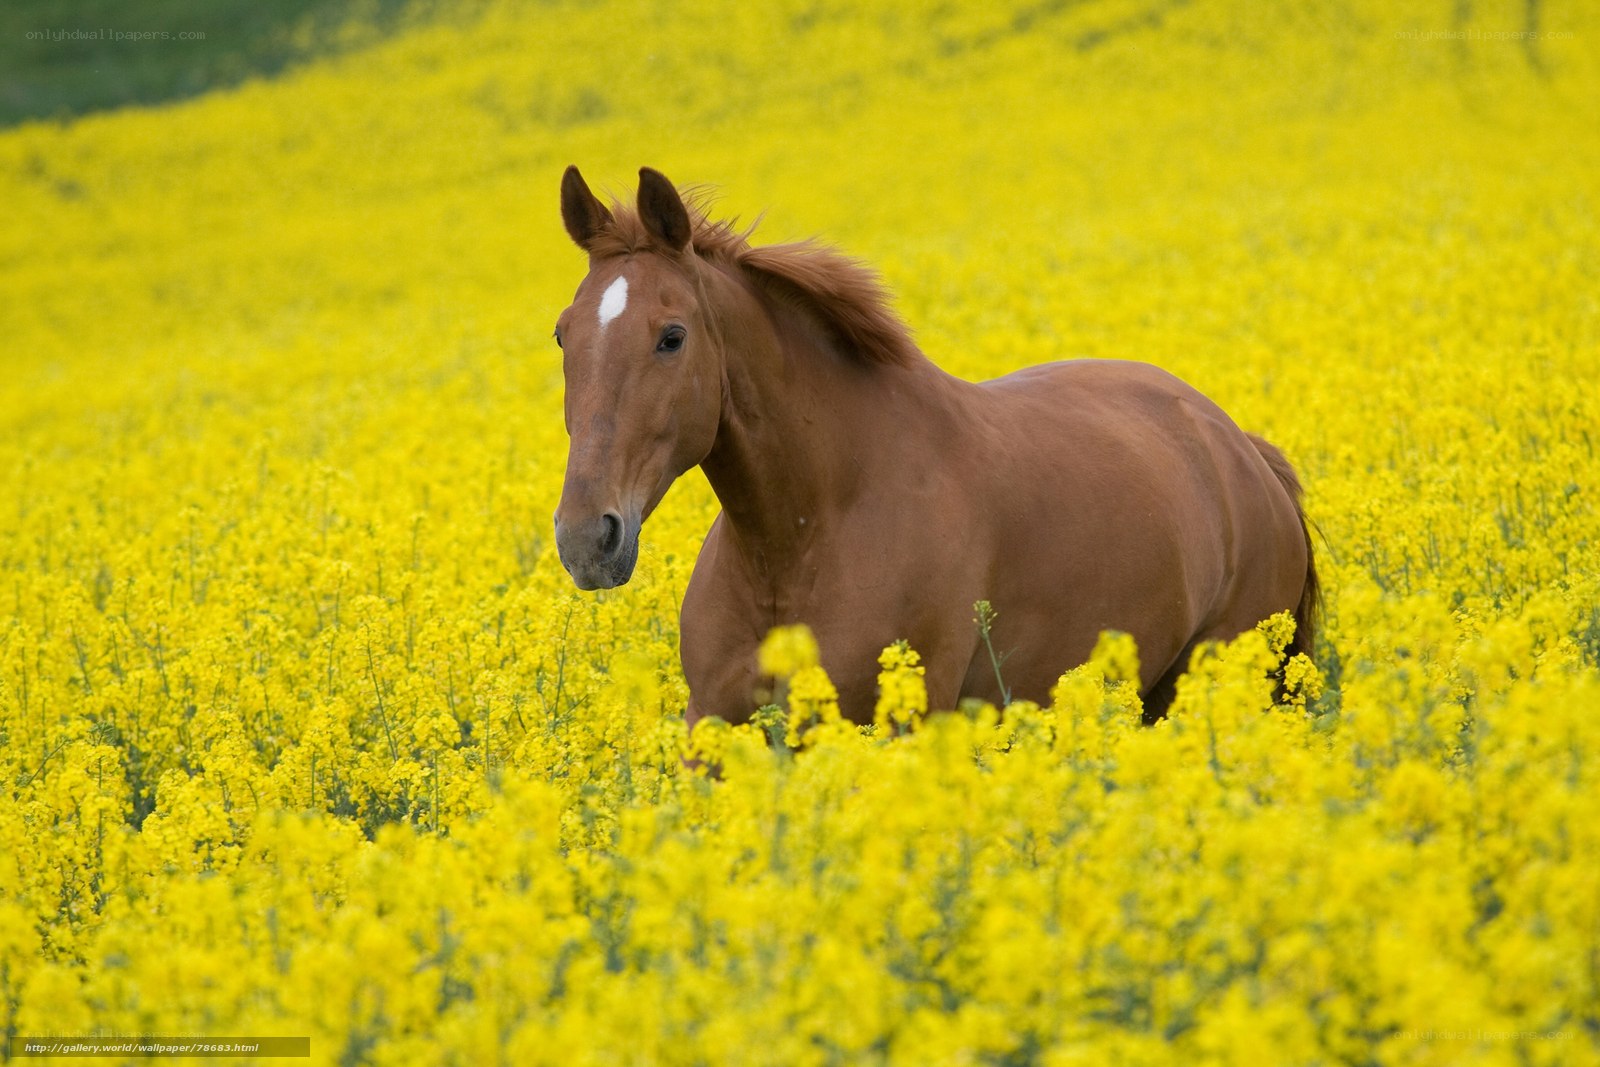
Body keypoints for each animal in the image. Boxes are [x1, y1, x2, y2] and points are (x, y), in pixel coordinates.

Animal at [552, 166, 1318, 726]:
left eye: (672, 336)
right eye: (563, 333)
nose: (587, 538)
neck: (802, 538)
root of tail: (1241, 449)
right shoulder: (711, 727)